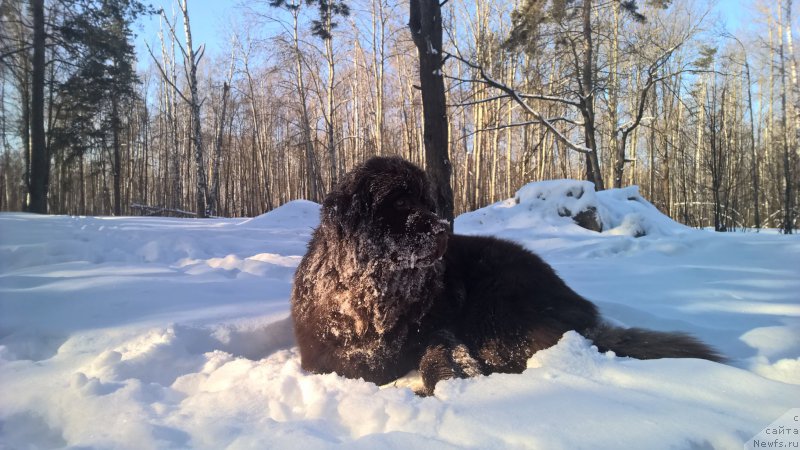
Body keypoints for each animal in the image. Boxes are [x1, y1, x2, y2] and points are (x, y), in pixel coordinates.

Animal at [290, 156, 720, 394]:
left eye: (427, 202)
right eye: (398, 201)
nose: (442, 228)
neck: (376, 293)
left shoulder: (439, 329)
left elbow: (437, 358)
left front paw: (448, 382)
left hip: (495, 309)